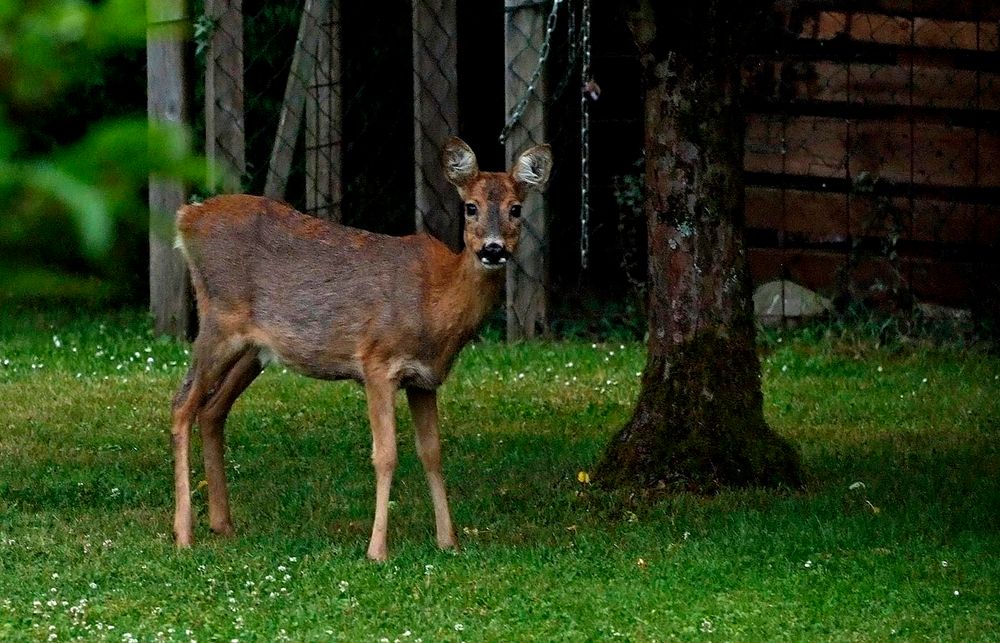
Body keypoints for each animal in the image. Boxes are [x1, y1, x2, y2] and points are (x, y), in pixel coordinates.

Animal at [167, 138, 552, 560]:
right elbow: (385, 455)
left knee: (212, 409)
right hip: (218, 321)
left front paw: (449, 541)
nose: (493, 249)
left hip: (254, 348)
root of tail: (187, 218)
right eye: (471, 207)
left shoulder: (424, 379)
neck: (435, 303)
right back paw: (184, 533)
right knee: (182, 405)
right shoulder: (377, 362)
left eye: (516, 209)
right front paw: (377, 549)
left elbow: (432, 453)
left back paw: (222, 524)